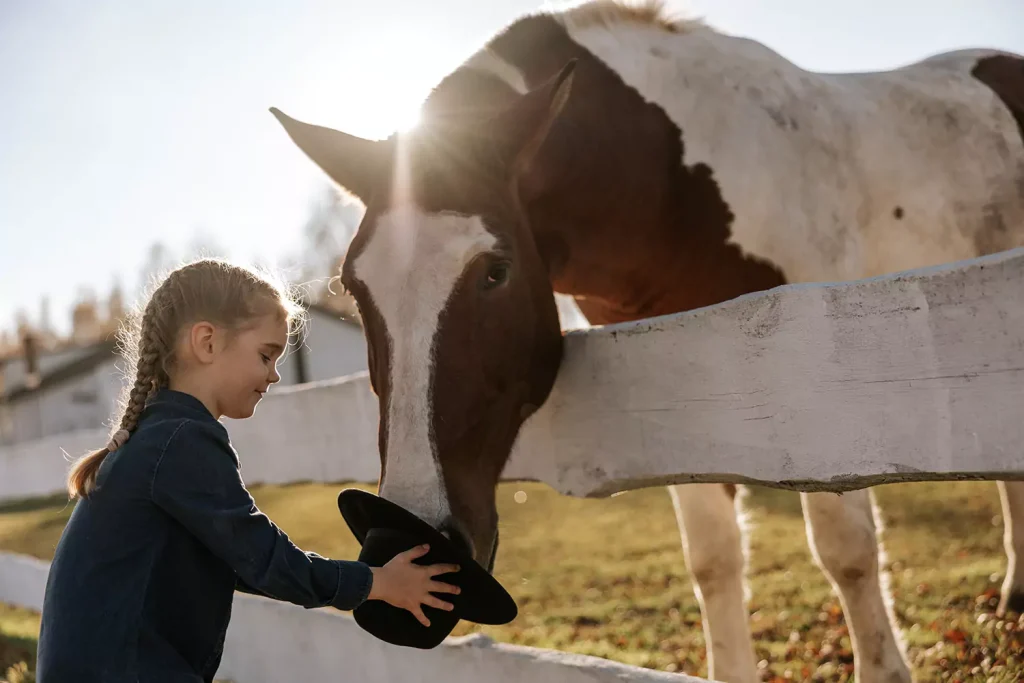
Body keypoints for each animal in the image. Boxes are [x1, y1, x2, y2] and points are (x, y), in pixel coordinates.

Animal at [271, 2, 1024, 681]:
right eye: (354, 287)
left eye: (494, 270)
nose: (404, 541)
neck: (671, 181)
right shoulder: (677, 387)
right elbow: (713, 560)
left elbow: (846, 550)